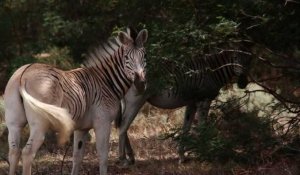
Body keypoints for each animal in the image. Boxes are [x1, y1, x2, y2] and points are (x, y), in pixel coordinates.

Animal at [4, 28, 149, 174]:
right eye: (126, 58)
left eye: (144, 56)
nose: (140, 84)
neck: (105, 81)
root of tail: (24, 74)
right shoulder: (103, 122)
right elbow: (103, 157)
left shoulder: (81, 128)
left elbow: (77, 158)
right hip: (40, 125)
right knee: (28, 153)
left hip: (14, 123)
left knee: (14, 152)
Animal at [116, 49, 252, 165]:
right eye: (234, 59)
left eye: (249, 61)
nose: (243, 83)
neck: (213, 71)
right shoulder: (204, 100)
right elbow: (202, 127)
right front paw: (205, 154)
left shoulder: (192, 102)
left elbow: (186, 128)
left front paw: (182, 157)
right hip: (135, 100)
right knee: (123, 127)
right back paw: (125, 160)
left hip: (126, 102)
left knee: (122, 126)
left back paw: (130, 157)